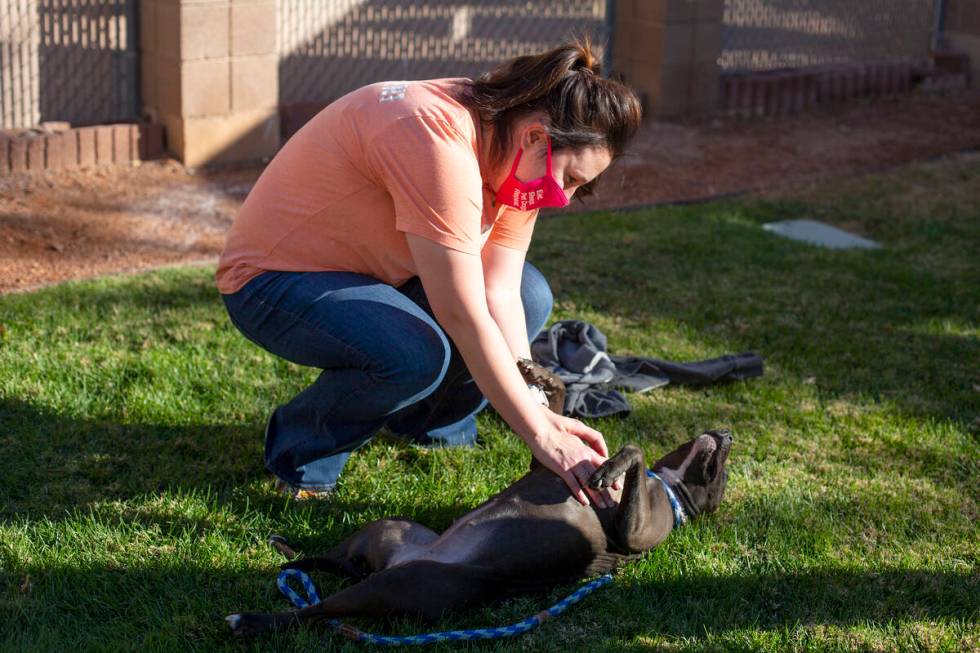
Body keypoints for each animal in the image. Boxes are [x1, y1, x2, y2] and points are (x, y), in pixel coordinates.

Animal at [228, 360, 728, 636]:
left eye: (724, 471)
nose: (727, 433)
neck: (668, 487)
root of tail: (389, 564)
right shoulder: (544, 461)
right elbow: (556, 410)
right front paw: (538, 375)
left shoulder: (634, 533)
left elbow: (633, 450)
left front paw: (610, 468)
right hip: (385, 529)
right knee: (324, 562)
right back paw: (287, 551)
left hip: (396, 588)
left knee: (317, 610)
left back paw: (252, 621)